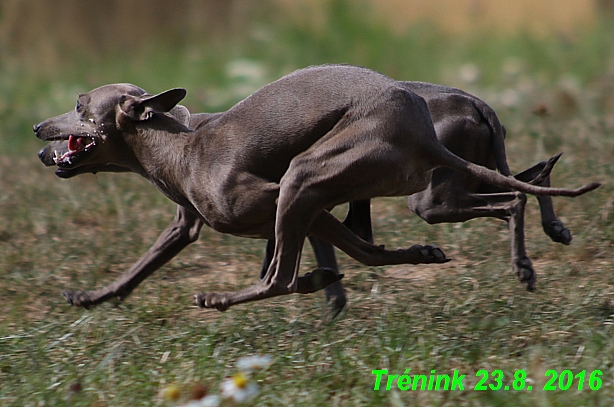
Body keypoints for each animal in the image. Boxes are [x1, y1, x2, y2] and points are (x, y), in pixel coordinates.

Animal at [35, 64, 600, 312]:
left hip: (319, 178)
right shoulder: (201, 221)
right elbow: (139, 267)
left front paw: (324, 291)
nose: (39, 132)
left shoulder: (283, 198)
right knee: (524, 185)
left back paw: (223, 298)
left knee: (280, 279)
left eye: (81, 104)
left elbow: (292, 264)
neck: (181, 142)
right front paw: (91, 295)